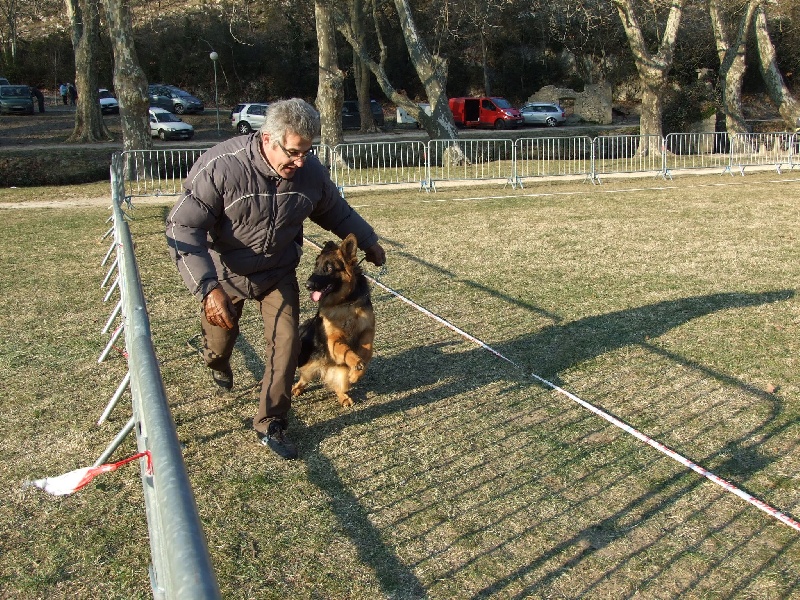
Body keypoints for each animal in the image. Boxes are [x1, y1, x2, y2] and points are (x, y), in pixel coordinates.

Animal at [292, 232, 376, 406]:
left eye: (329, 268)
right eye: (316, 266)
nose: (307, 285)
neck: (346, 303)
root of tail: (324, 369)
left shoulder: (368, 331)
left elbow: (367, 351)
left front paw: (357, 371)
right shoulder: (334, 339)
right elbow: (345, 349)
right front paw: (356, 362)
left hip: (340, 375)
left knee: (338, 386)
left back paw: (344, 396)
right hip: (305, 359)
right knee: (303, 377)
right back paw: (296, 388)